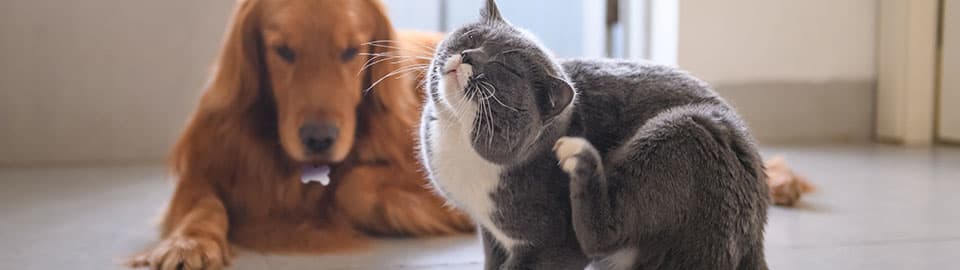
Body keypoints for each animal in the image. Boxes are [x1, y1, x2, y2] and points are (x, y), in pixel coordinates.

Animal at [127, 1, 472, 268]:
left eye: (351, 51)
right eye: (283, 51)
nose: (319, 140)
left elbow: (353, 186)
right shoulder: (204, 167)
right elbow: (203, 204)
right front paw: (188, 244)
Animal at [416, 1, 768, 268]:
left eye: (508, 69)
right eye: (472, 37)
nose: (468, 55)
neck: (458, 137)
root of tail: (756, 237)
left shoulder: (552, 244)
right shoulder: (490, 233)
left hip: (686, 130)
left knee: (603, 236)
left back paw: (581, 158)